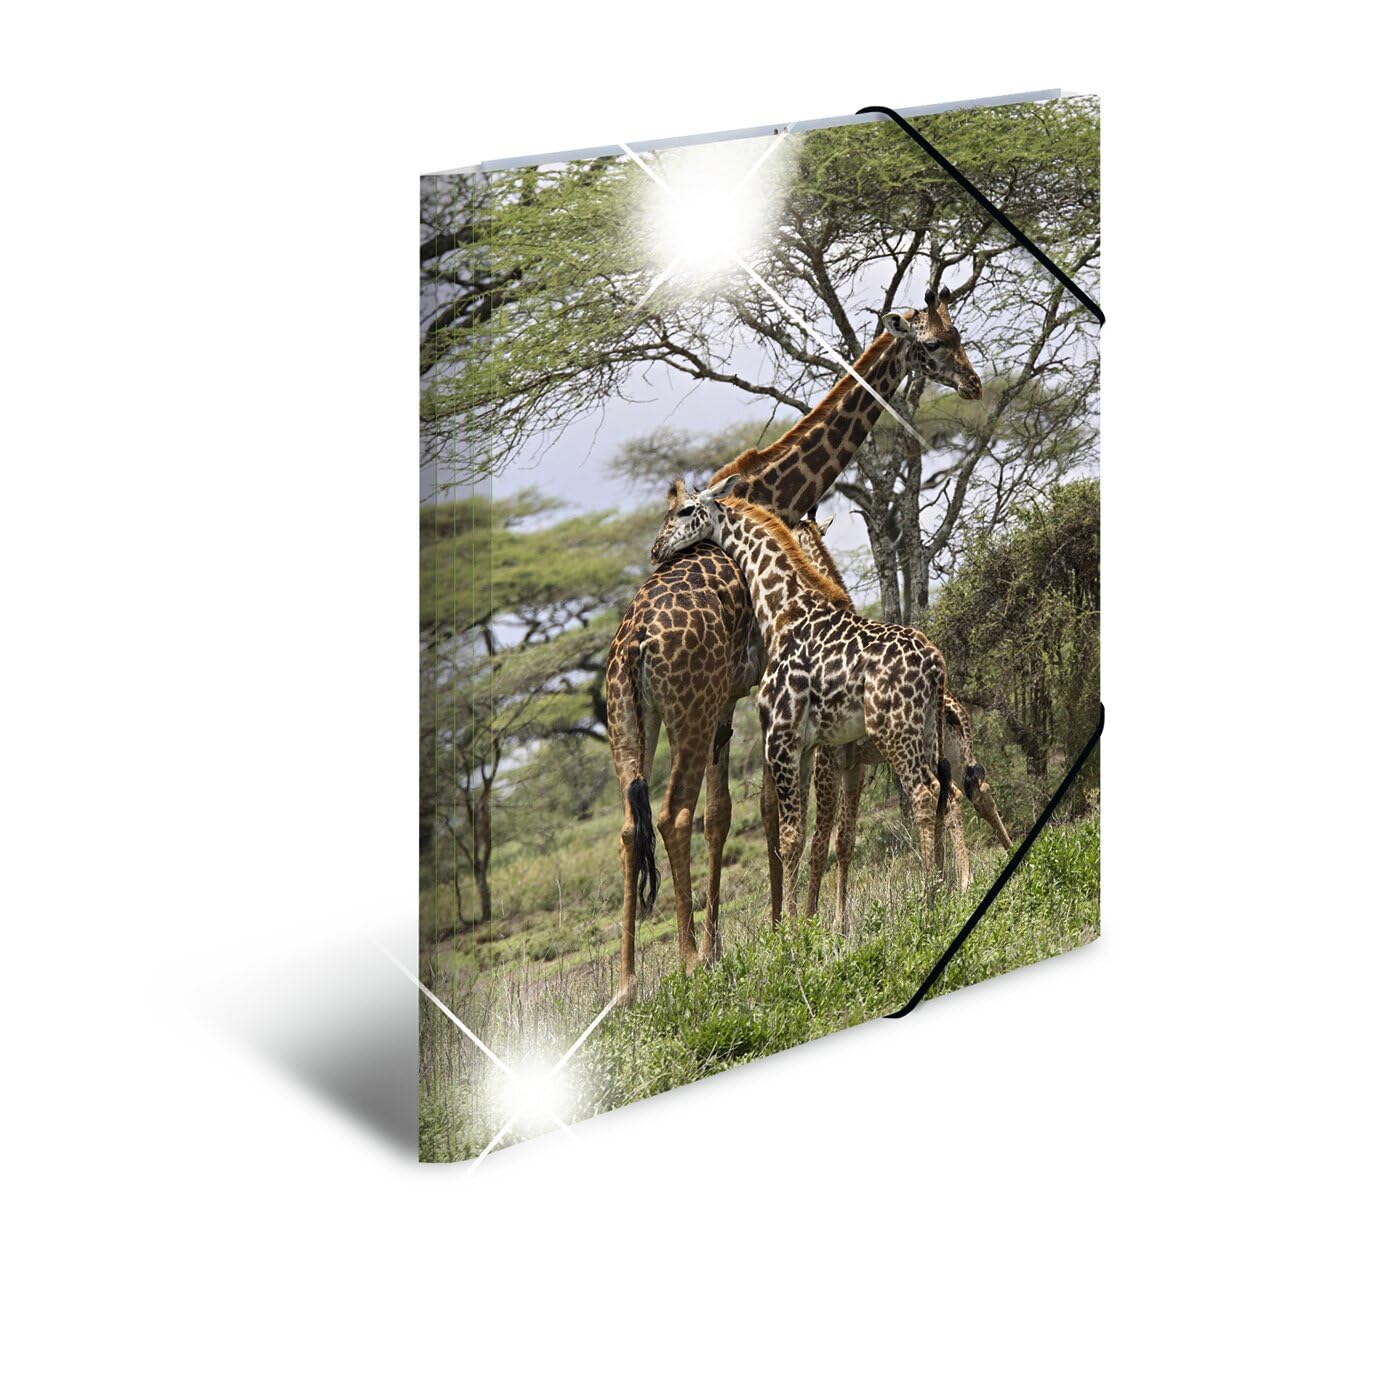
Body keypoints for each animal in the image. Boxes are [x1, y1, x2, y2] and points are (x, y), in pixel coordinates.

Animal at [650, 489, 954, 923]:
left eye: (685, 510)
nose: (657, 549)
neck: (783, 612)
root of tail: (937, 663)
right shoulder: (808, 746)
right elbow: (808, 835)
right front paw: (807, 922)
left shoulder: (782, 737)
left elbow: (792, 836)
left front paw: (794, 928)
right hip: (927, 729)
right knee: (945, 792)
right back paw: (946, 889)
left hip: (894, 729)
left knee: (924, 793)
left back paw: (930, 899)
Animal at [789, 517, 1014, 935]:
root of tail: (950, 703)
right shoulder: (856, 765)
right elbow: (844, 841)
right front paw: (838, 922)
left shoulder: (828, 763)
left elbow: (820, 843)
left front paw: (812, 923)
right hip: (955, 750)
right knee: (975, 788)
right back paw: (999, 858)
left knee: (949, 796)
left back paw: (960, 881)